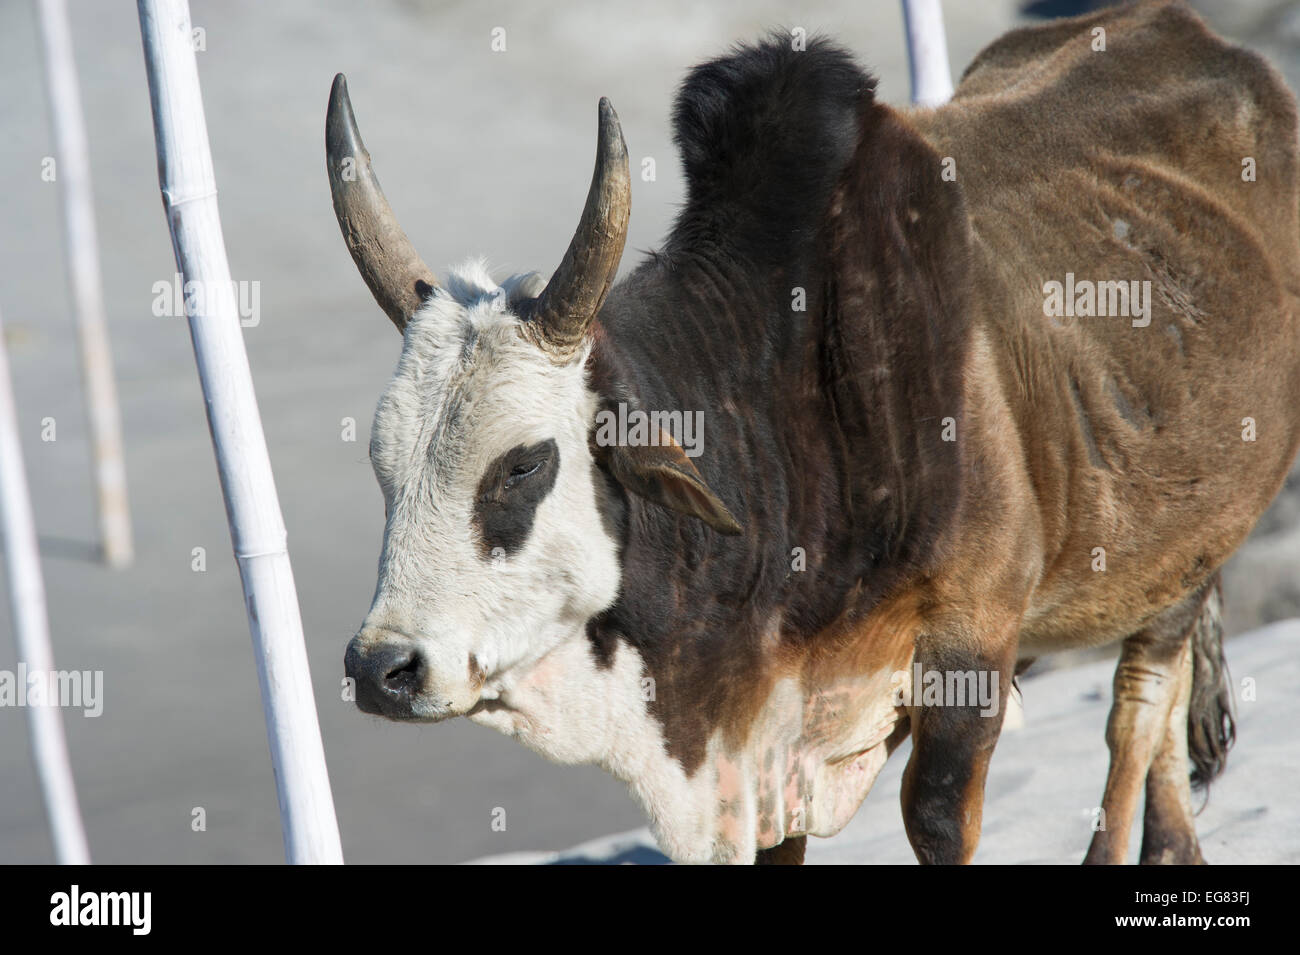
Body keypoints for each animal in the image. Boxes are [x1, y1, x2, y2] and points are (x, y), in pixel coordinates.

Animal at [325, 0, 1300, 867]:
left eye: (524, 464)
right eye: (382, 465)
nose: (382, 668)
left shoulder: (971, 640)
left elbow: (938, 819)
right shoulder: (771, 740)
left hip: (1188, 545)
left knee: (1140, 700)